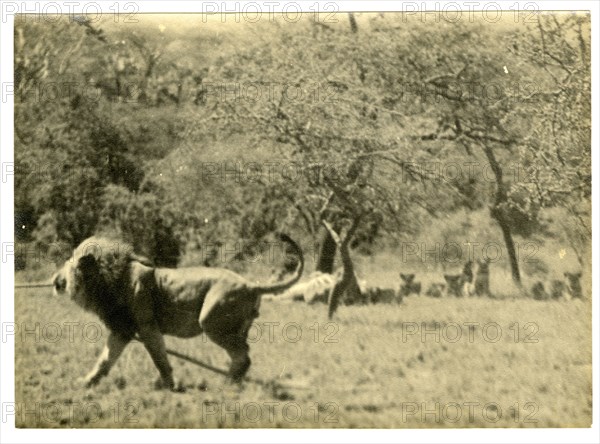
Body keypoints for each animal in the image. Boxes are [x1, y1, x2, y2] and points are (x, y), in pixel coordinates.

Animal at [51, 234, 304, 390]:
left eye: (69, 261)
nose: (55, 279)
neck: (108, 280)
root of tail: (252, 285)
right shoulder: (122, 330)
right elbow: (104, 359)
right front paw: (86, 382)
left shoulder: (147, 327)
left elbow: (159, 357)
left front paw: (168, 385)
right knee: (243, 356)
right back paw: (232, 382)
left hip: (211, 322)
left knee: (243, 356)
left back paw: (227, 385)